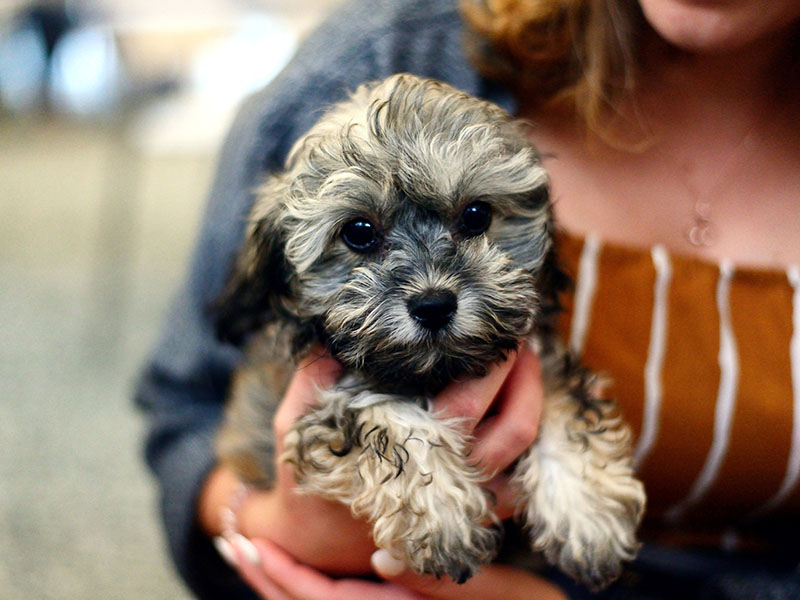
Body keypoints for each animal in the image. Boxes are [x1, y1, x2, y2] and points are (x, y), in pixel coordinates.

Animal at [212, 72, 644, 588]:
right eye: (359, 231)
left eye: (476, 216)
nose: (434, 304)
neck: (436, 370)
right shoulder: (329, 398)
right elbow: (387, 420)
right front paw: (442, 514)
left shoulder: (539, 358)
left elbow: (564, 406)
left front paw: (586, 514)